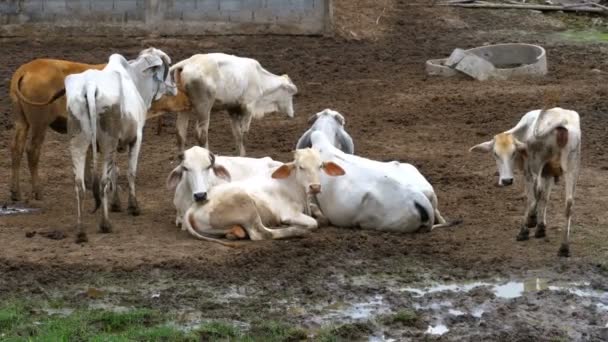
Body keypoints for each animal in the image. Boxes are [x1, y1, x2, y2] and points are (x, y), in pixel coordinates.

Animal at [65, 47, 177, 243]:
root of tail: (90, 86)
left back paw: (81, 232)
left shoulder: (114, 144)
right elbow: (130, 172)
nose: (175, 86)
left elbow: (114, 172)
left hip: (78, 143)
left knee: (80, 185)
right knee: (102, 182)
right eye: (167, 67)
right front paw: (133, 206)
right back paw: (105, 224)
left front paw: (116, 203)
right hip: (106, 142)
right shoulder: (136, 138)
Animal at [169, 52, 300, 155]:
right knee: (201, 134)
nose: (292, 113)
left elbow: (237, 135)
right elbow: (244, 134)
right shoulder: (248, 108)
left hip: (184, 107)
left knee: (180, 133)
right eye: (291, 93)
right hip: (204, 107)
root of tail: (187, 63)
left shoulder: (232, 109)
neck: (260, 78)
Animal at [180, 148, 344, 244]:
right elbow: (314, 223)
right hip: (246, 206)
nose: (315, 187)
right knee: (262, 234)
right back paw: (296, 231)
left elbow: (322, 216)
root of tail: (192, 208)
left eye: (320, 166)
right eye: (300, 167)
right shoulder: (290, 213)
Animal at [468, 107, 580, 256]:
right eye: (496, 154)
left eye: (514, 153)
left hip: (537, 163)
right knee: (569, 203)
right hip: (571, 166)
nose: (506, 180)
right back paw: (564, 247)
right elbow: (545, 198)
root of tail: (561, 122)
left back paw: (530, 221)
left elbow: (531, 197)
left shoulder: (529, 171)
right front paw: (541, 228)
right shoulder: (548, 172)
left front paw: (526, 230)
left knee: (537, 190)